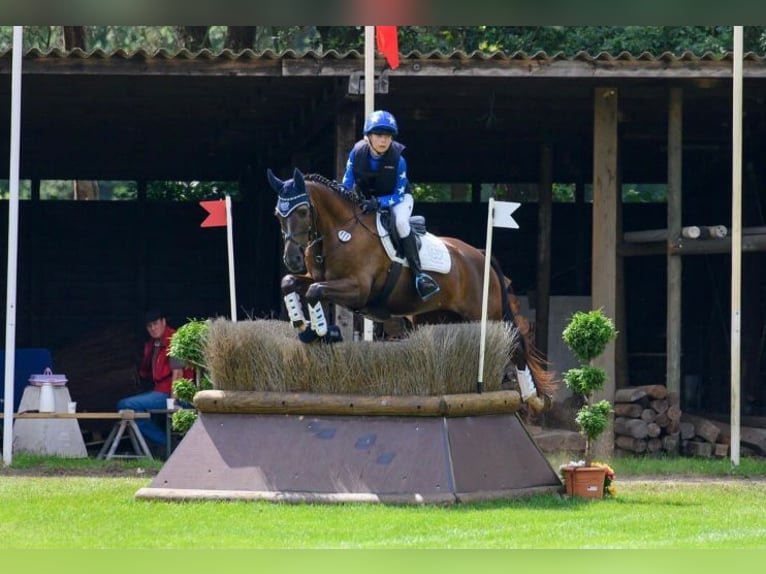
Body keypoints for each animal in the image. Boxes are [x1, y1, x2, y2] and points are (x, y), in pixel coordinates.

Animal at [270, 168, 560, 414]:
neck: (339, 232)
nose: (292, 258)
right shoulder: (317, 278)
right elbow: (292, 283)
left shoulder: (358, 289)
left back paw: (532, 397)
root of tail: (480, 254)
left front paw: (318, 330)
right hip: (435, 317)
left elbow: (314, 291)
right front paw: (302, 324)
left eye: (303, 211)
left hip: (486, 314)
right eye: (278, 215)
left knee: (515, 344)